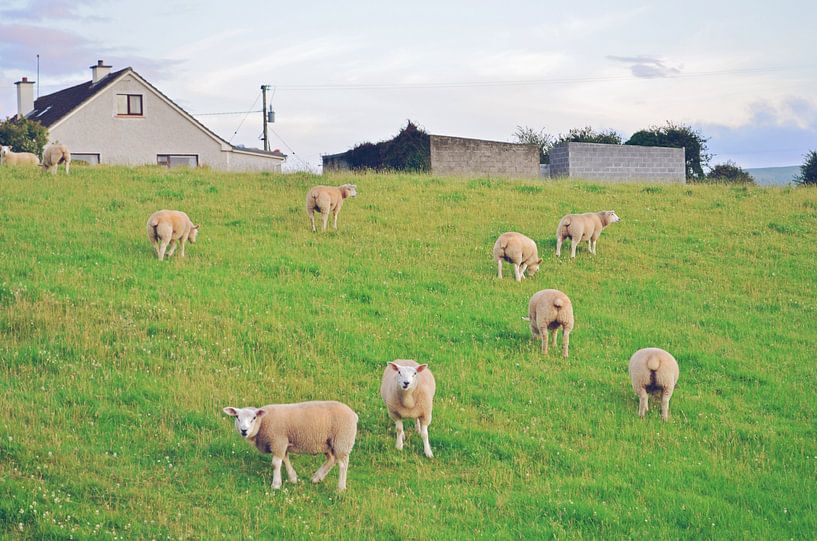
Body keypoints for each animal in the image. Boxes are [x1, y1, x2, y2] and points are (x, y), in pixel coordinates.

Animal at [223, 400, 358, 491]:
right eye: (237, 417)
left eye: (254, 418)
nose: (244, 430)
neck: (263, 422)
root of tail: (353, 414)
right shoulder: (282, 443)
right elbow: (285, 459)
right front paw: (293, 478)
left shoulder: (278, 441)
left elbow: (276, 463)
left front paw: (276, 484)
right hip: (328, 442)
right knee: (331, 459)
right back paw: (316, 478)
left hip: (342, 440)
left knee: (343, 464)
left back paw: (340, 488)